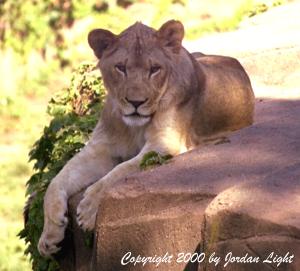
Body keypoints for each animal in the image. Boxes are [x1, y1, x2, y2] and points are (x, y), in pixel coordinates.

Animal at [37, 20, 253, 258]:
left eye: (154, 69)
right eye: (121, 68)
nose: (136, 102)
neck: (133, 128)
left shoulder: (164, 144)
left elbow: (119, 171)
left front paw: (88, 210)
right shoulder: (100, 148)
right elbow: (57, 180)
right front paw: (49, 235)